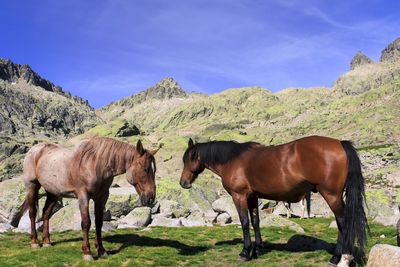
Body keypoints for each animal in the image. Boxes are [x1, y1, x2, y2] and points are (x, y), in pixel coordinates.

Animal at [12, 137, 159, 260]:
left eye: (154, 169)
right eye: (145, 169)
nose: (150, 198)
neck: (95, 163)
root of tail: (34, 150)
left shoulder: (102, 197)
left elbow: (98, 223)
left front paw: (101, 250)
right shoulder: (83, 196)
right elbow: (86, 223)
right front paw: (87, 252)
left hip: (53, 193)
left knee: (46, 213)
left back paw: (47, 242)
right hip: (32, 187)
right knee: (32, 213)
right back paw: (35, 242)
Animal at [180, 137, 368, 266]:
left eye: (189, 158)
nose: (183, 183)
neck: (233, 160)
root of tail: (339, 143)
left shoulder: (239, 196)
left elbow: (245, 223)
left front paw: (245, 252)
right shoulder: (252, 197)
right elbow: (255, 221)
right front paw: (257, 249)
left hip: (331, 195)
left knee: (343, 222)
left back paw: (342, 258)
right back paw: (337, 256)